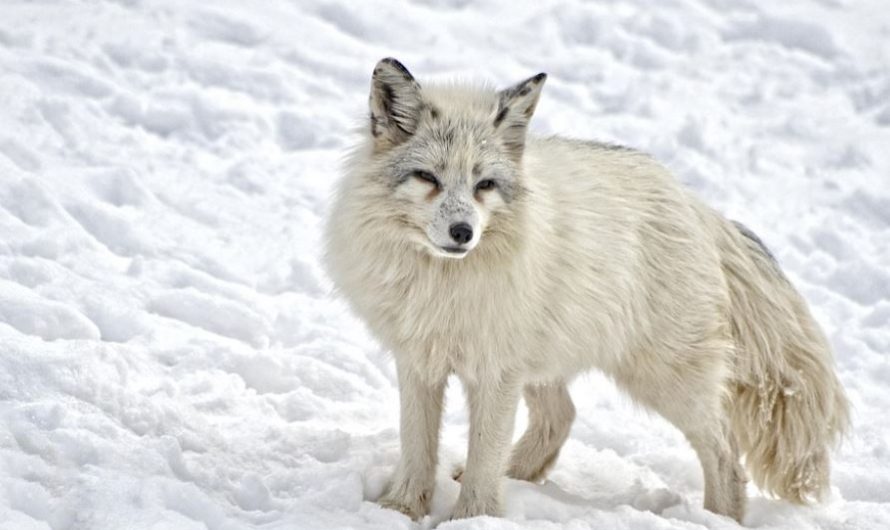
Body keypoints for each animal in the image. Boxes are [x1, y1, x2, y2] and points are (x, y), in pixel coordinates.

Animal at [324, 58, 850, 523]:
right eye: (428, 178)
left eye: (484, 185)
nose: (462, 233)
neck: (442, 284)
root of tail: (695, 204)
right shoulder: (420, 362)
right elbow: (418, 447)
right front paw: (401, 510)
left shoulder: (495, 372)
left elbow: (483, 457)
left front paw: (473, 519)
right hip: (547, 363)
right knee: (562, 417)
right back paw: (517, 475)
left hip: (664, 380)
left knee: (726, 457)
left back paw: (718, 520)